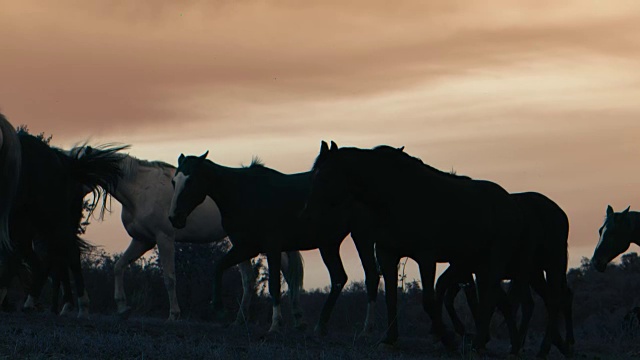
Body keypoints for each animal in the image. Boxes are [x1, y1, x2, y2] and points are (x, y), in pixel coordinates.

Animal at [0, 113, 124, 318]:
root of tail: (62, 161)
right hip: (30, 225)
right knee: (41, 259)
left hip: (50, 217)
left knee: (67, 253)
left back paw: (79, 306)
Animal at [168, 150, 382, 334]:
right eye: (174, 182)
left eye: (191, 180)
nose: (175, 218)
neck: (243, 194)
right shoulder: (246, 248)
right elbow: (219, 267)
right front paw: (219, 308)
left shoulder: (272, 248)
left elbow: (274, 286)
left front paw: (275, 325)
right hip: (329, 245)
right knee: (340, 278)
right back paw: (321, 326)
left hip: (361, 237)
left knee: (370, 277)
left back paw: (367, 327)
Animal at [438, 193, 572, 356]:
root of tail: (561, 214)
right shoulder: (466, 269)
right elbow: (454, 297)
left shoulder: (472, 269)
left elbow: (479, 299)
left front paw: (479, 338)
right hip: (535, 272)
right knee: (546, 300)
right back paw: (560, 344)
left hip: (552, 266)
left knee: (553, 300)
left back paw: (548, 347)